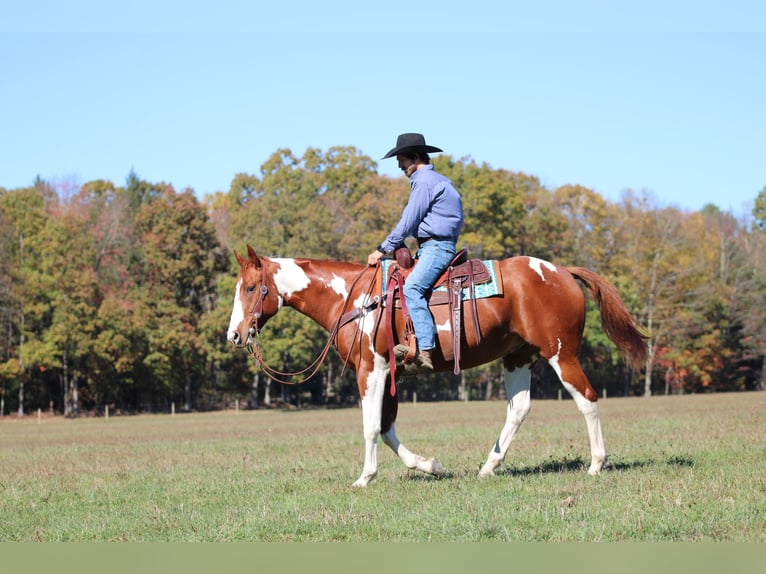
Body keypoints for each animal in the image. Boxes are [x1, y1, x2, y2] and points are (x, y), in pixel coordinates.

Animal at [227, 245, 648, 487]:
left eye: (249, 288)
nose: (234, 334)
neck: (355, 299)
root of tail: (561, 271)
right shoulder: (392, 374)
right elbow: (387, 429)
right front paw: (431, 466)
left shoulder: (371, 370)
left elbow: (370, 427)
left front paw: (365, 477)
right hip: (518, 357)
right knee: (519, 409)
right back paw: (489, 467)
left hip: (562, 353)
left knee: (587, 398)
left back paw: (596, 465)